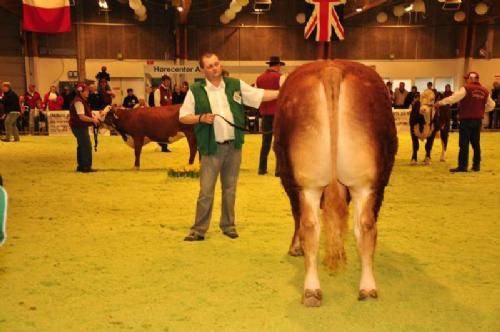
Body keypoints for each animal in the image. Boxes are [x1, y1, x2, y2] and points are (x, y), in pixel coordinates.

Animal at [274, 61, 398, 308]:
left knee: (310, 225)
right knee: (365, 225)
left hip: (309, 182)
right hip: (365, 183)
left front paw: (295, 248)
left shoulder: (290, 182)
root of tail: (332, 67)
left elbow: (296, 216)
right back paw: (366, 288)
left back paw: (312, 289)